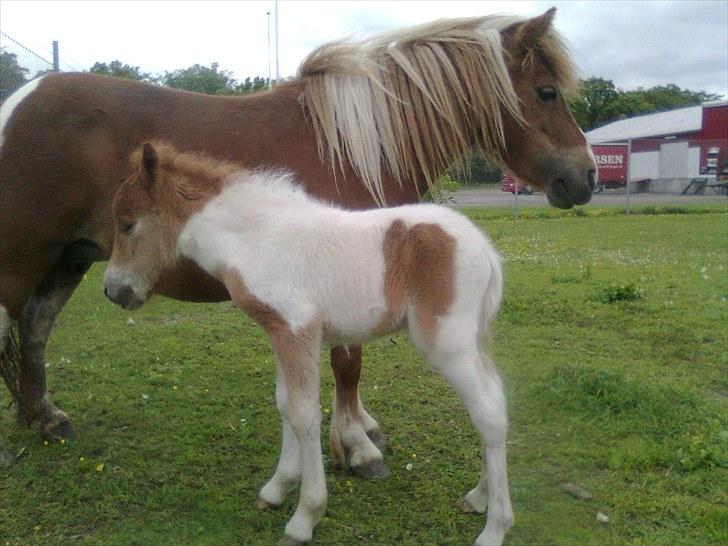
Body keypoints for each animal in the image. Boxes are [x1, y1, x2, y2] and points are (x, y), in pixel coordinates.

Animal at [0, 9, 592, 476]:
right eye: (546, 92)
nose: (586, 176)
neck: (356, 149)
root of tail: (17, 105)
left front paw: (362, 430)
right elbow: (348, 362)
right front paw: (356, 448)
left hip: (68, 259)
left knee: (33, 329)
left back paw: (45, 418)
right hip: (21, 262)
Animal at [104, 142, 512, 540]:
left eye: (127, 224)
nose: (112, 290)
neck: (256, 239)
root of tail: (485, 249)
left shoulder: (297, 327)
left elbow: (304, 414)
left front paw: (305, 516)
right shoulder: (279, 331)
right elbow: (285, 404)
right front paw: (277, 487)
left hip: (447, 344)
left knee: (488, 411)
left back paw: (495, 526)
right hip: (473, 341)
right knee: (494, 401)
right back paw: (478, 498)